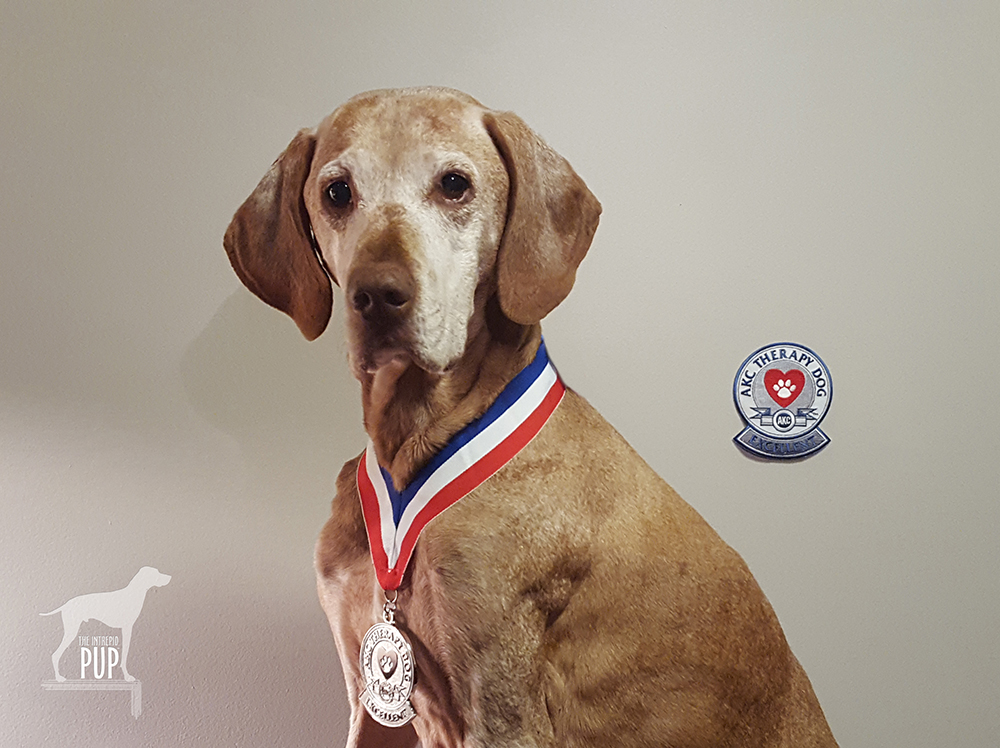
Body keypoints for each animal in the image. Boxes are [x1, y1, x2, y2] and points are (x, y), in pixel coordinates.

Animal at [40, 564, 170, 680]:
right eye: (156, 573)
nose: (169, 577)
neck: (133, 594)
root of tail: (66, 605)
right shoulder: (127, 628)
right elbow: (124, 654)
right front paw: (127, 676)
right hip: (71, 631)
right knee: (55, 654)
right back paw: (58, 678)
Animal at [225, 87, 836, 748]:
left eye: (455, 184)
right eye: (337, 192)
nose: (378, 295)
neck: (416, 445)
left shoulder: (502, 706)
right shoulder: (370, 695)